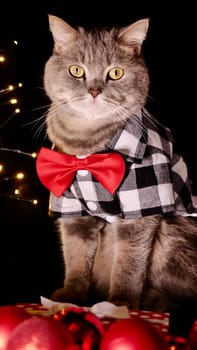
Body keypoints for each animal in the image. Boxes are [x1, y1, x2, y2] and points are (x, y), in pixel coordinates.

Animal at [38, 15, 197, 312]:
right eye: (76, 70)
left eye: (115, 73)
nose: (94, 91)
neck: (87, 147)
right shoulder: (69, 204)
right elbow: (76, 255)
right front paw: (71, 293)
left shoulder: (141, 207)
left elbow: (128, 262)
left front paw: (121, 302)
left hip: (173, 231)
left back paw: (155, 300)